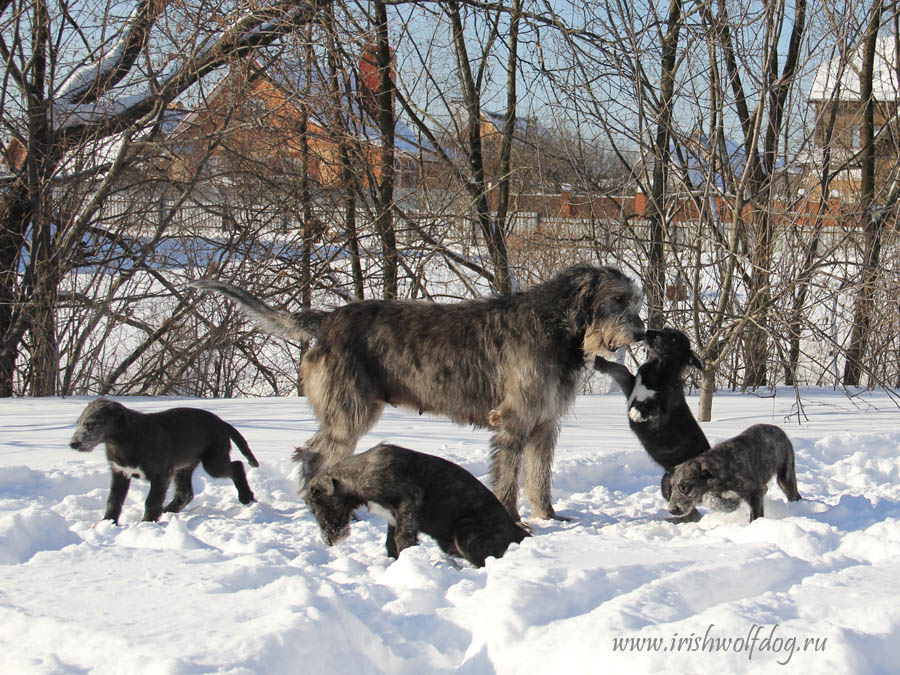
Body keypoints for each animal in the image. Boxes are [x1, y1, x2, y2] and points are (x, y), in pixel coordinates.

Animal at [68, 398, 258, 524]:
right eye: (78, 423)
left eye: (92, 424)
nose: (73, 444)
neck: (124, 440)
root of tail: (223, 423)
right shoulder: (120, 473)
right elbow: (114, 501)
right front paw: (107, 523)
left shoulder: (161, 474)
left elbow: (151, 501)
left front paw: (147, 523)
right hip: (184, 467)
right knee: (185, 493)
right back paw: (168, 511)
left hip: (214, 462)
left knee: (237, 466)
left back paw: (246, 497)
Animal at [196, 266, 644, 524]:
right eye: (617, 299)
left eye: (635, 300)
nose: (641, 332)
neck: (557, 324)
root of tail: (327, 319)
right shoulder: (513, 421)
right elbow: (507, 479)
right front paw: (513, 521)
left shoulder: (545, 423)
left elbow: (539, 476)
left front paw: (549, 516)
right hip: (349, 410)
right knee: (312, 454)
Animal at [298, 444, 532, 564]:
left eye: (318, 507)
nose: (328, 542)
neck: (356, 476)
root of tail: (516, 531)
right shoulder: (392, 518)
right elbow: (390, 543)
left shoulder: (409, 498)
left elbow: (402, 538)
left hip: (466, 531)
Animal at [596, 328, 712, 524]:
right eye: (665, 329)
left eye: (673, 338)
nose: (648, 332)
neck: (659, 368)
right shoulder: (631, 386)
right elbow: (621, 369)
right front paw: (599, 362)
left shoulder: (662, 412)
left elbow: (653, 404)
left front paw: (638, 412)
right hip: (667, 483)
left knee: (691, 512)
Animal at [668, 426, 800, 524]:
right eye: (672, 486)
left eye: (684, 487)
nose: (671, 510)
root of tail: (781, 431)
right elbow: (719, 504)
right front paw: (733, 503)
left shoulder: (754, 492)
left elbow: (755, 515)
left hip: (785, 477)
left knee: (793, 494)